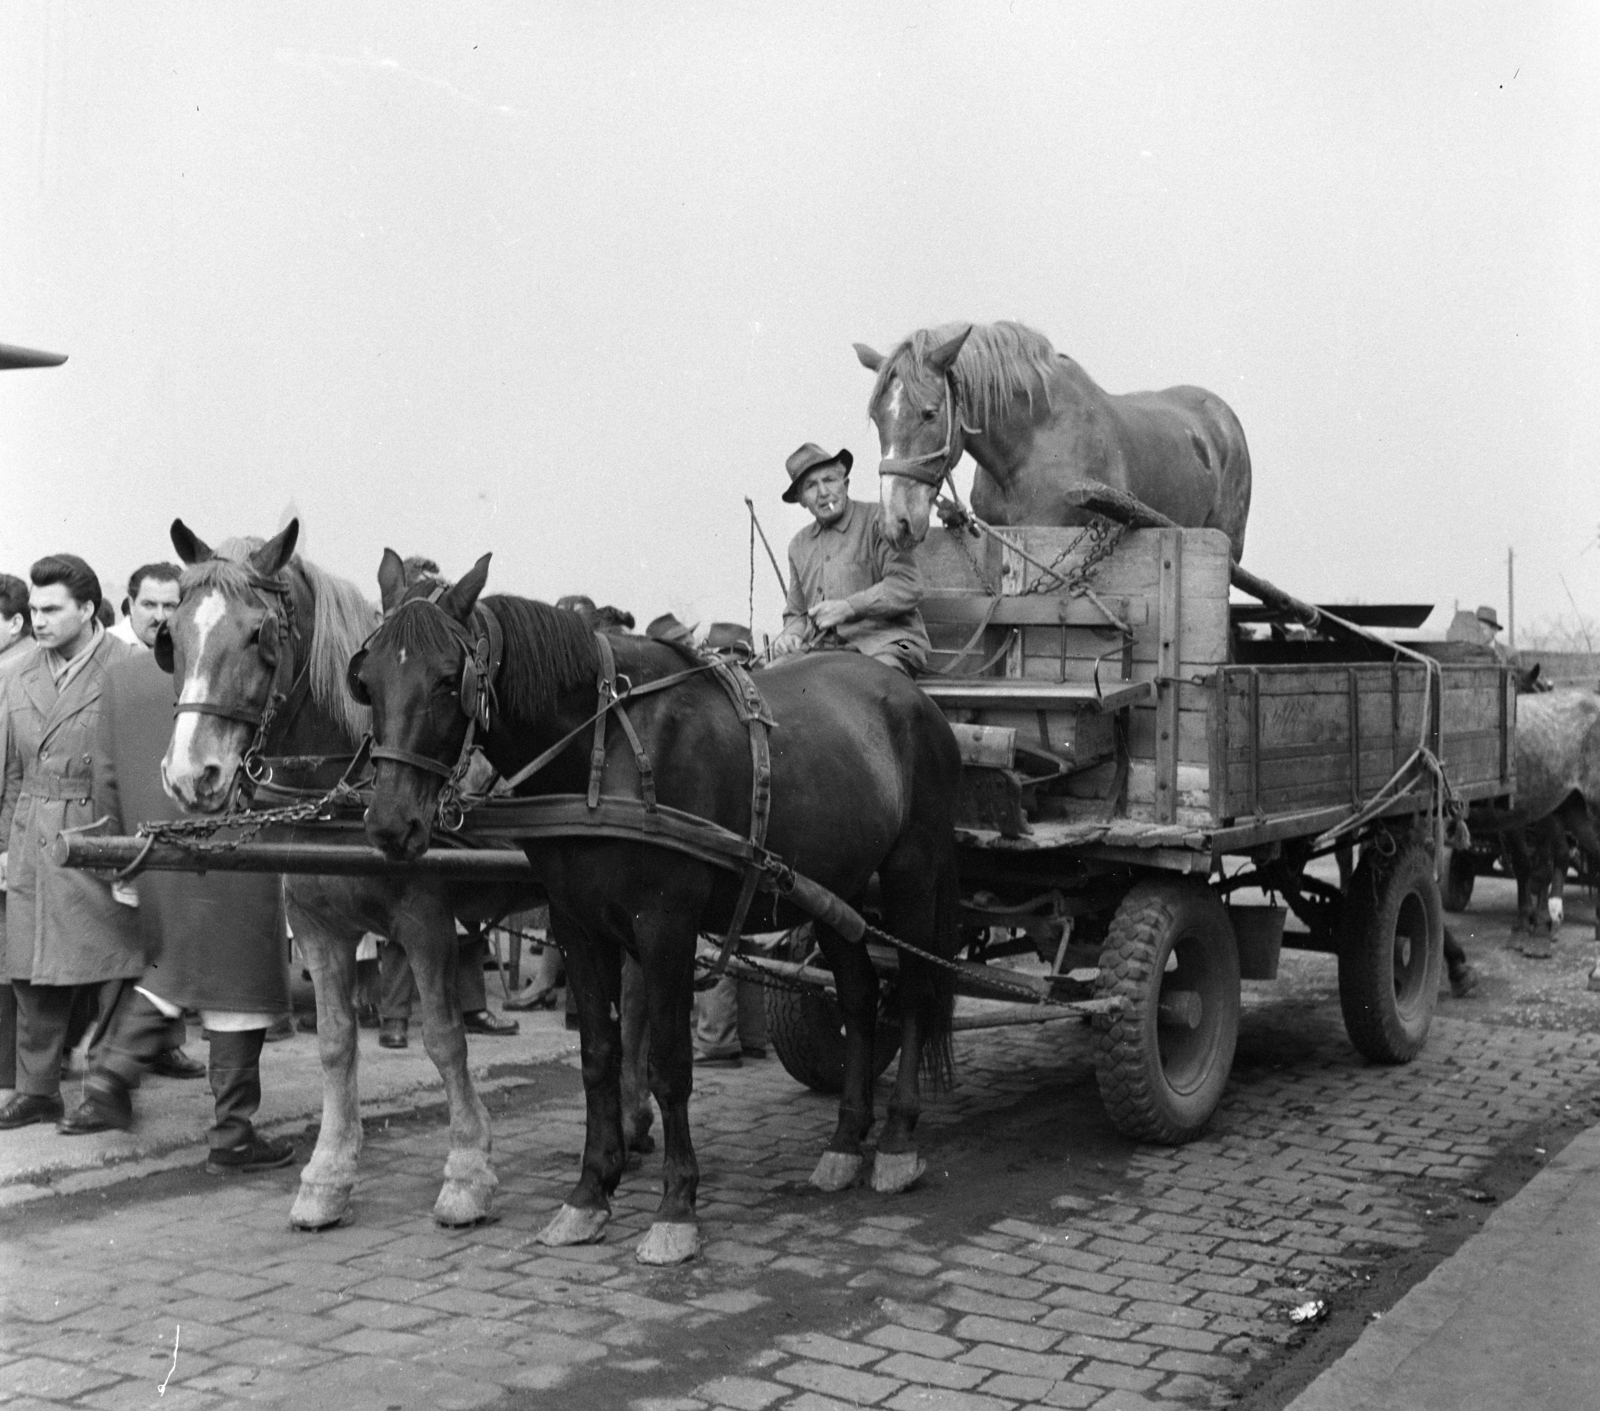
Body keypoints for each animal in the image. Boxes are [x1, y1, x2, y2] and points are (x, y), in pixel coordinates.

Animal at [360, 550, 960, 1267]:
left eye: (450, 680)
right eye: (368, 680)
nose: (390, 823)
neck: (603, 751)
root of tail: (915, 700)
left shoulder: (666, 927)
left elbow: (669, 1064)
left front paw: (676, 1206)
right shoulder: (578, 925)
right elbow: (599, 1056)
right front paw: (589, 1193)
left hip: (913, 873)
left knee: (916, 990)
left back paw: (896, 1141)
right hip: (836, 888)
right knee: (860, 995)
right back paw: (845, 1142)